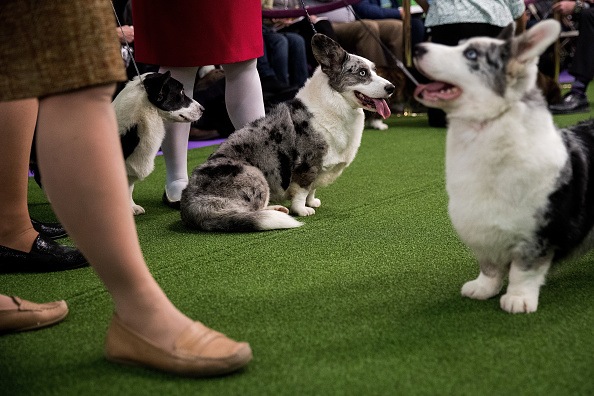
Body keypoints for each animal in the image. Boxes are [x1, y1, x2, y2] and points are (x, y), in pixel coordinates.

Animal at [180, 35, 394, 232]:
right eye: (362, 72)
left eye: (374, 70)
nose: (391, 88)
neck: (335, 103)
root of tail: (191, 203)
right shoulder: (307, 165)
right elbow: (302, 191)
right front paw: (303, 210)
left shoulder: (317, 169)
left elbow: (312, 190)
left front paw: (312, 202)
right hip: (255, 174)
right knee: (246, 211)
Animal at [412, 20, 592, 314]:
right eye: (459, 44)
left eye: (471, 54)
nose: (416, 48)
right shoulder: (482, 231)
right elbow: (490, 267)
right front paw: (482, 289)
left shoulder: (535, 237)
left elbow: (523, 271)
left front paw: (518, 299)